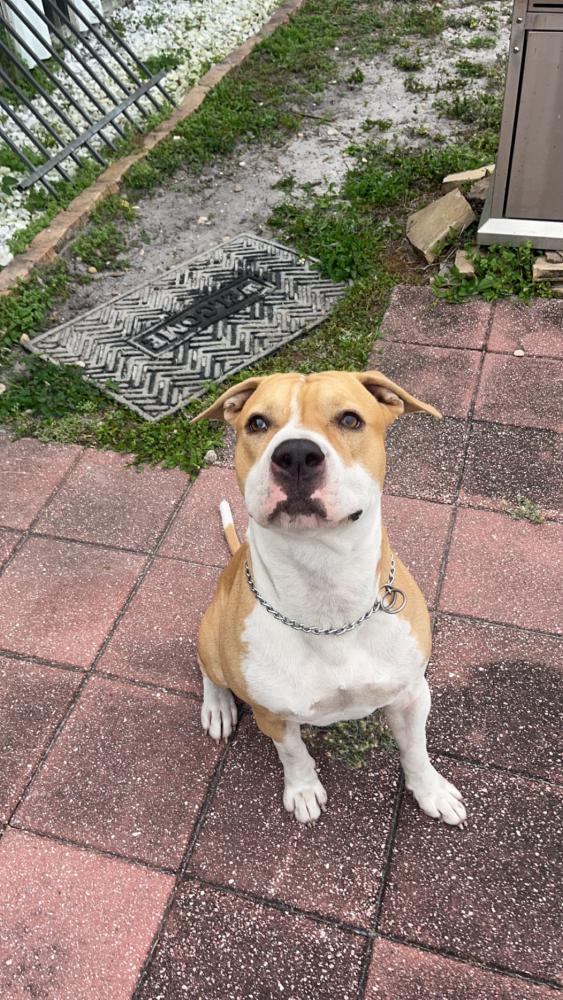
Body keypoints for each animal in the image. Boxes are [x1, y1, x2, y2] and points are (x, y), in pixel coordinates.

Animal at [192, 370, 466, 827]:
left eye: (350, 419)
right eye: (258, 423)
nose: (296, 455)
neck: (326, 593)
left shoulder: (412, 695)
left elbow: (416, 749)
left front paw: (431, 791)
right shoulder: (274, 715)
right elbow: (294, 754)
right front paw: (303, 791)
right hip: (210, 634)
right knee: (209, 670)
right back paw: (217, 707)